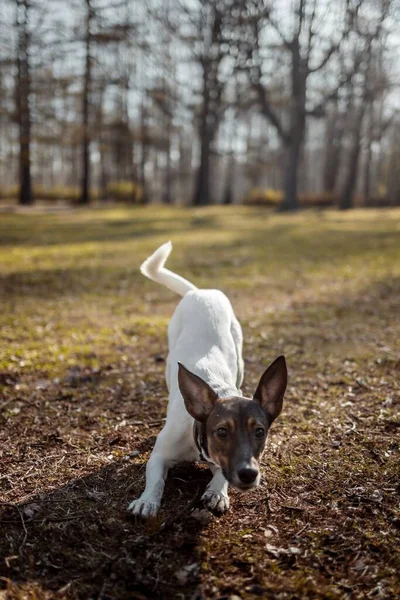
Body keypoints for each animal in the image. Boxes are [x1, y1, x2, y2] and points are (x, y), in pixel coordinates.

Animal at [126, 241, 286, 516]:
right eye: (221, 431)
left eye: (260, 431)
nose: (249, 474)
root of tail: (200, 292)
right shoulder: (159, 455)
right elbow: (155, 480)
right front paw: (147, 500)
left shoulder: (221, 464)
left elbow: (221, 475)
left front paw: (217, 492)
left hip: (239, 356)